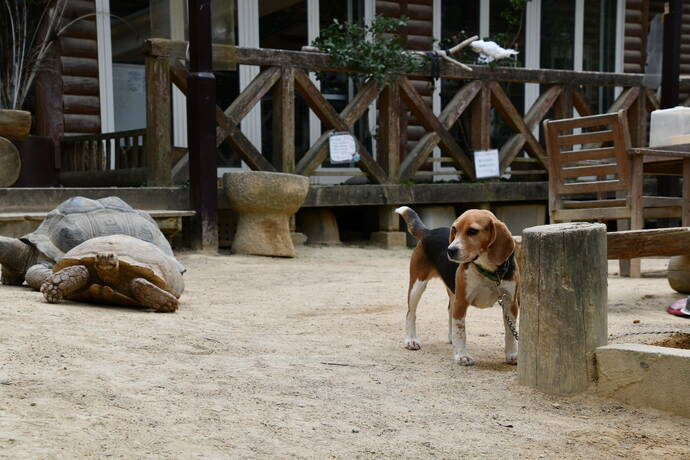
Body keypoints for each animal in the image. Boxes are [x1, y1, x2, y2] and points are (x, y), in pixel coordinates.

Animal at [392, 206, 516, 366]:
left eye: (472, 231)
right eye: (455, 230)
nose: (450, 250)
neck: (487, 270)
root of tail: (430, 231)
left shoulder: (510, 303)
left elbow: (511, 333)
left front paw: (512, 355)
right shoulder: (462, 301)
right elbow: (460, 331)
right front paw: (462, 356)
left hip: (452, 292)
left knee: (449, 310)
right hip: (417, 286)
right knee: (410, 314)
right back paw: (411, 340)